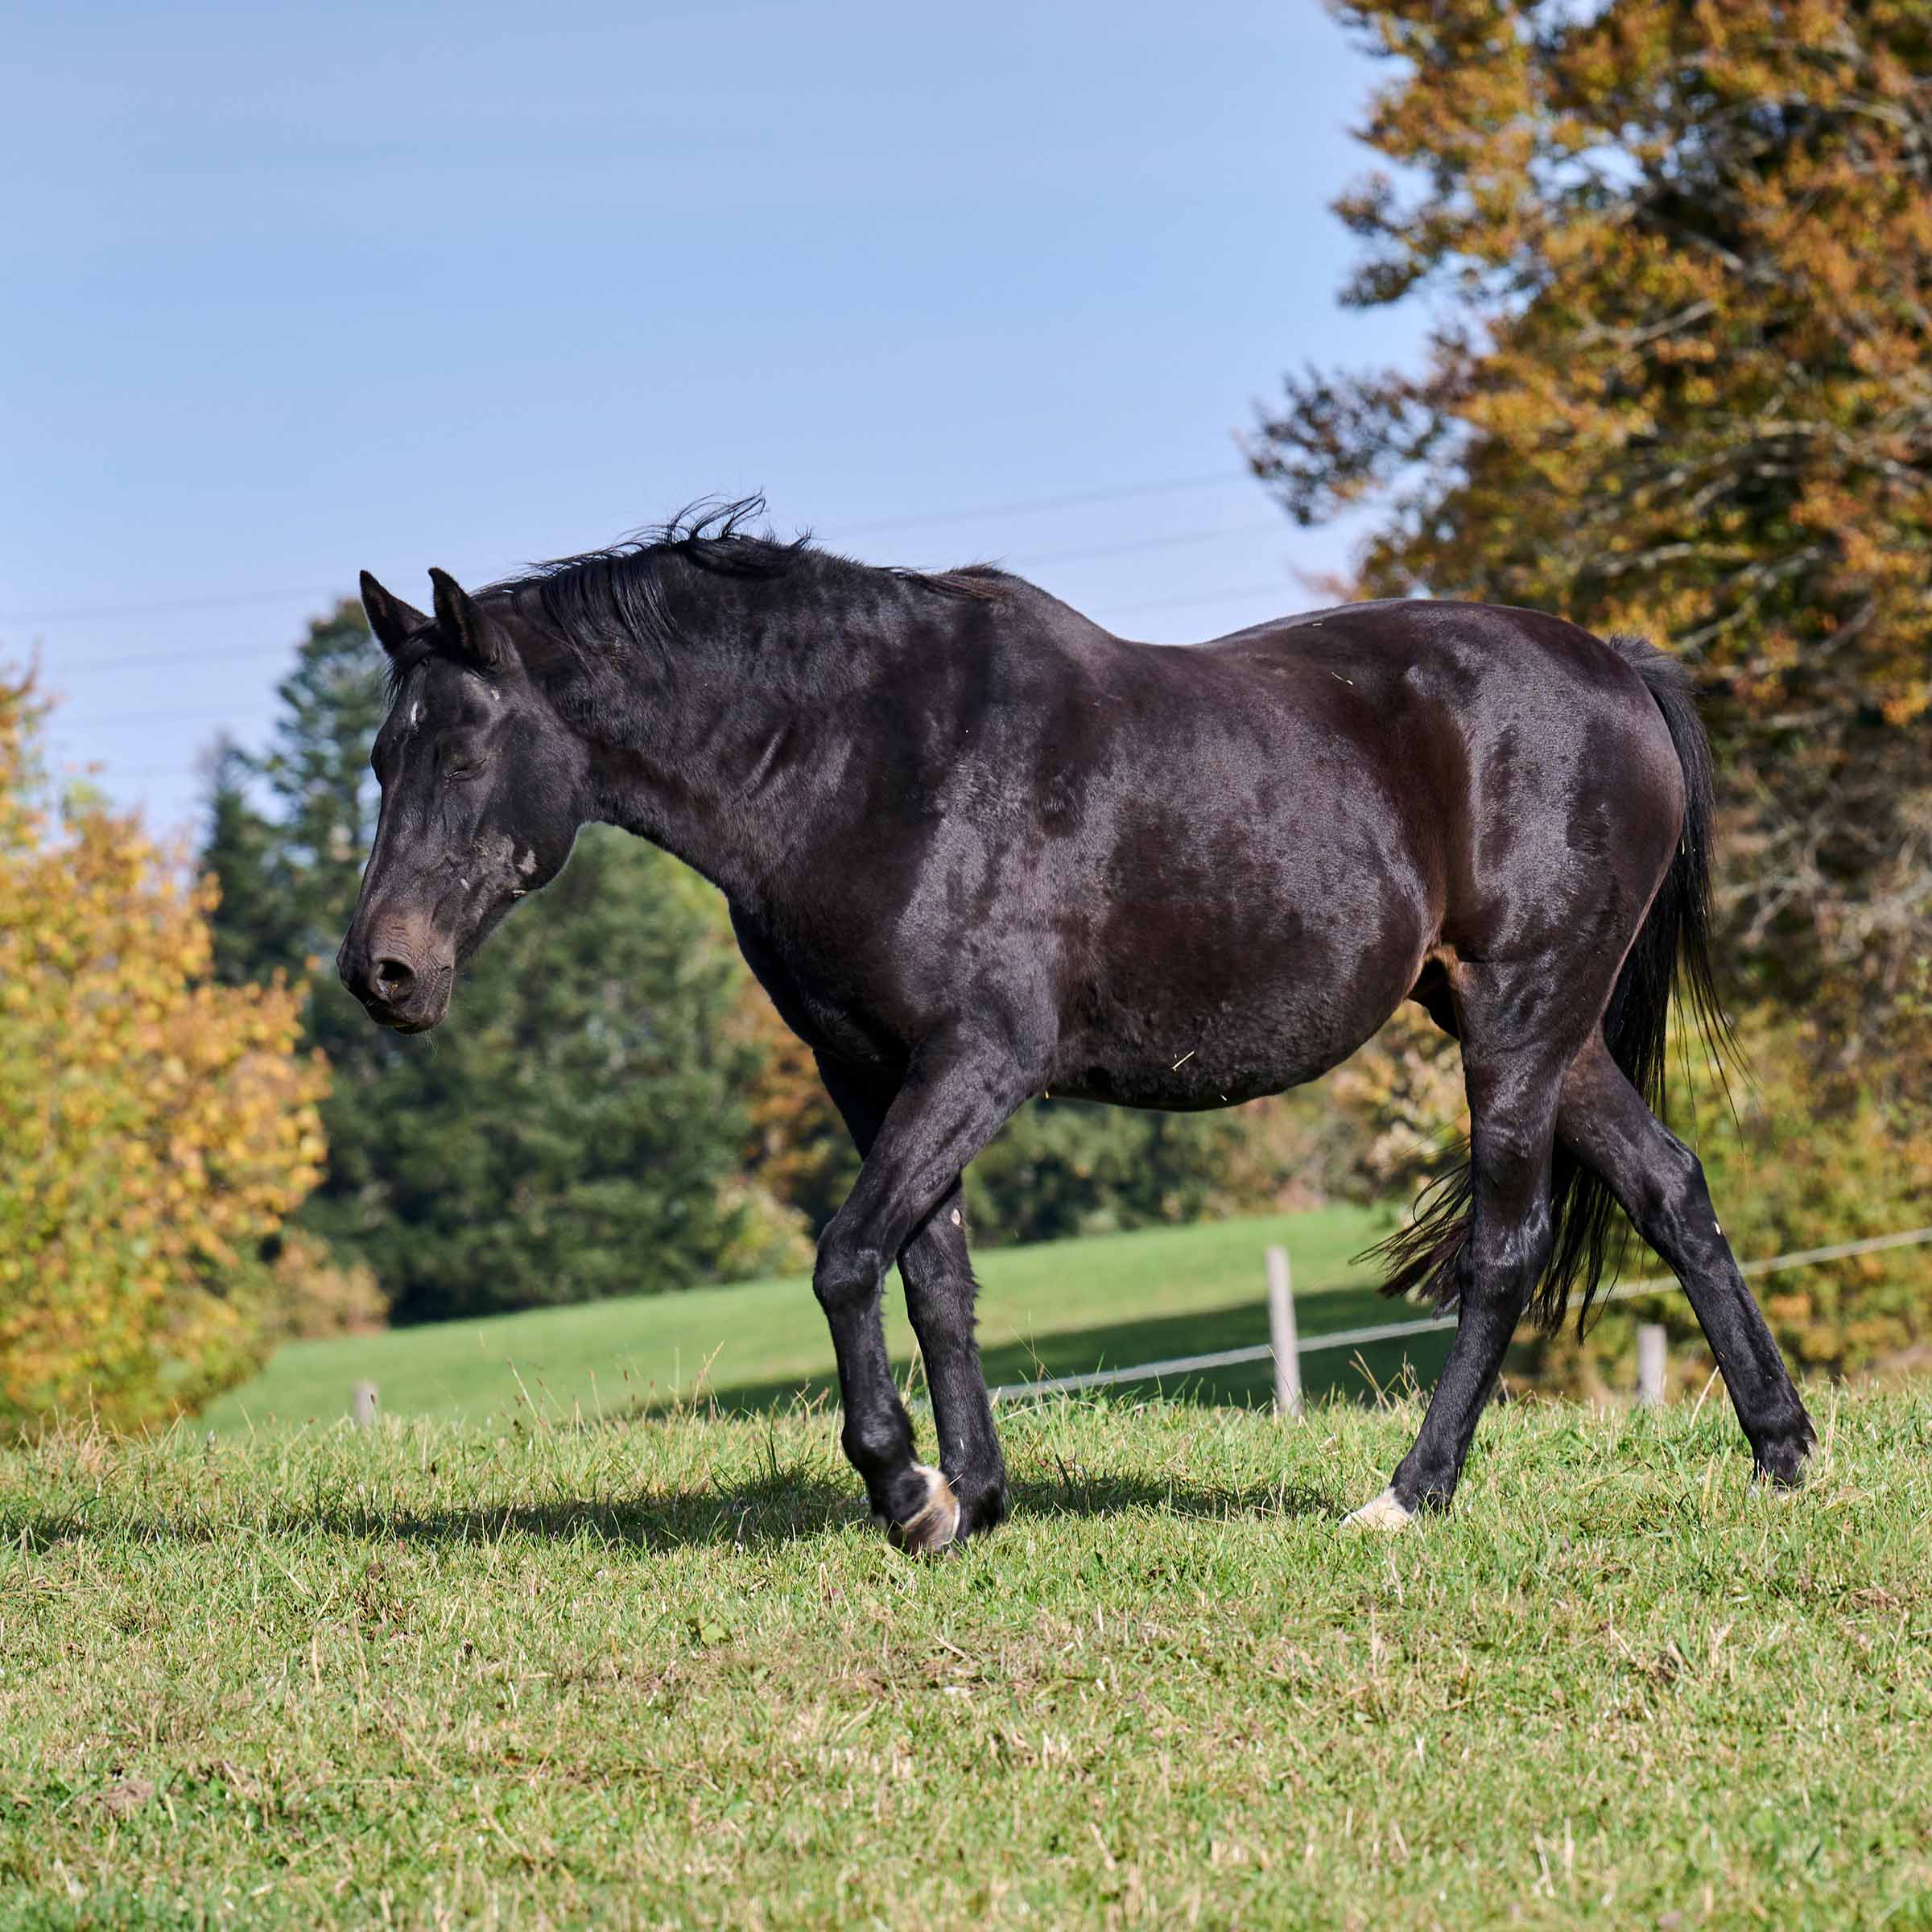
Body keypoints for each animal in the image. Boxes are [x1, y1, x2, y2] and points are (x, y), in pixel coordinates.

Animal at [338, 501, 1815, 1549]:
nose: (381, 972)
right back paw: (1782, 1452)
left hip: (1517, 1022)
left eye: (462, 748)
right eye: (378, 755)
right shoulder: (870, 1074)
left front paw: (905, 1489)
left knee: (1508, 1249)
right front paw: (974, 1497)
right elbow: (933, 1276)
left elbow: (847, 1258)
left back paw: (1411, 1494)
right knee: (1674, 1194)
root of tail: (1617, 669)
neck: (870, 760)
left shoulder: (980, 1064)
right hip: (1544, 1033)